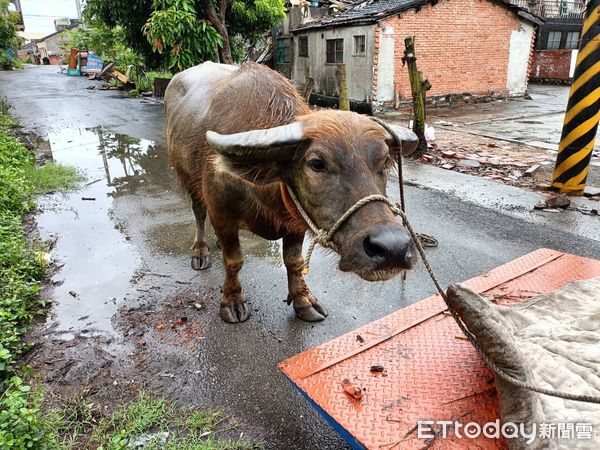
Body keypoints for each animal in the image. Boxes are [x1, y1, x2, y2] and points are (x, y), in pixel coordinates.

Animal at [164, 63, 418, 324]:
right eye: (316, 163)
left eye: (385, 160)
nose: (393, 247)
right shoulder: (222, 213)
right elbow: (234, 261)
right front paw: (232, 301)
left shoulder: (296, 221)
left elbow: (294, 262)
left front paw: (303, 301)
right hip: (188, 180)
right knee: (199, 213)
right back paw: (200, 251)